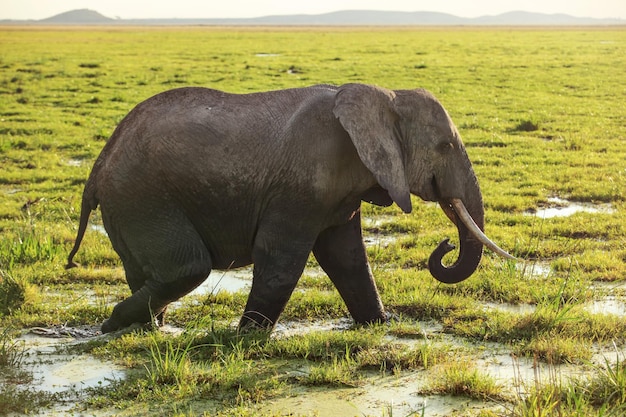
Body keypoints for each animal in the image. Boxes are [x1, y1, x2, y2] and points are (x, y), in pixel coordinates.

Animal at [66, 83, 516, 334]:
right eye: (445, 146)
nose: (445, 245)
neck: (385, 95)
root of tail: (98, 167)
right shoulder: (300, 185)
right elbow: (281, 257)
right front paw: (246, 337)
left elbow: (348, 259)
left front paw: (380, 326)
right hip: (142, 198)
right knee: (187, 267)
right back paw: (113, 325)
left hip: (130, 205)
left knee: (154, 272)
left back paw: (147, 330)